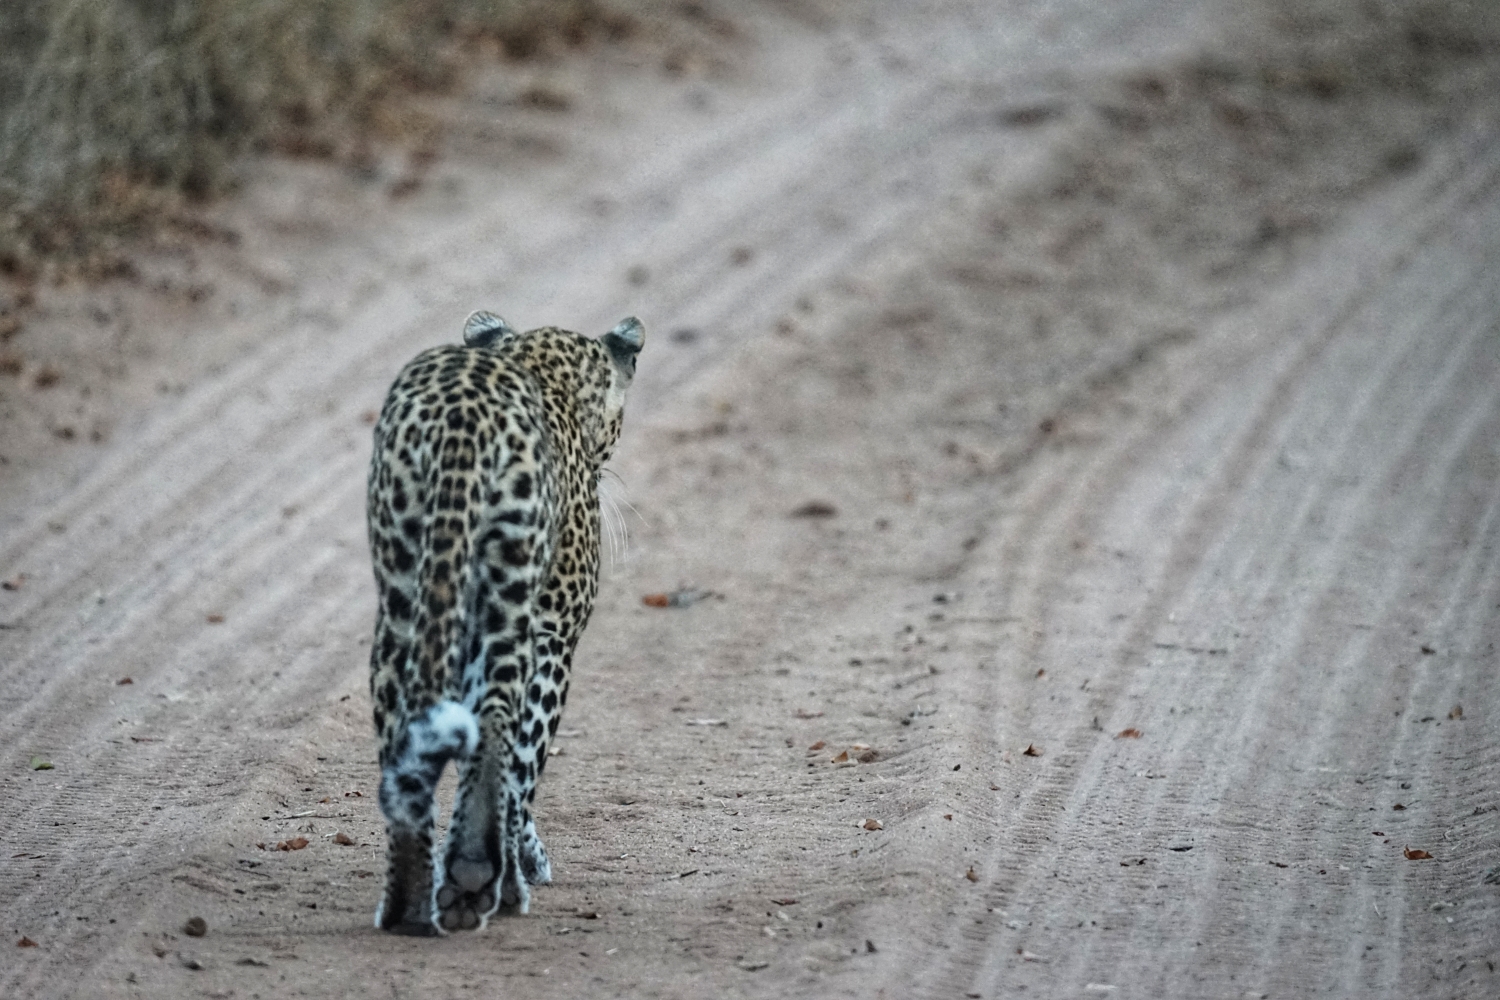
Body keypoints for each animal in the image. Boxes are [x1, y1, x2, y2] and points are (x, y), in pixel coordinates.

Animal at [367, 308, 645, 935]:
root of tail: (462, 421)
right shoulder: (554, 632)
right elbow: (524, 765)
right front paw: (523, 861)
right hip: (508, 606)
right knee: (497, 727)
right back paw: (483, 883)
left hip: (401, 605)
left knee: (402, 734)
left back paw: (409, 904)